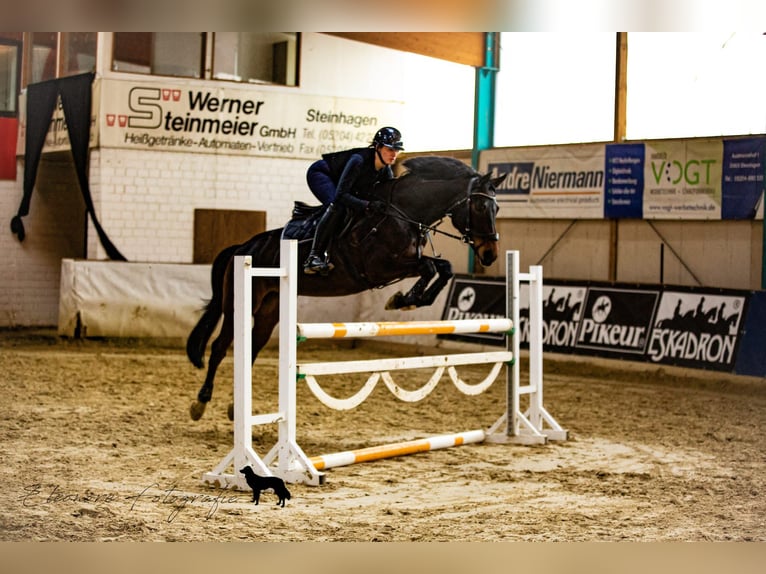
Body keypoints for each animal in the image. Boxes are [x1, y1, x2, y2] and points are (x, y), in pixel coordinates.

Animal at [187, 158, 510, 424]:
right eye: (480, 207)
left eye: (497, 208)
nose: (490, 254)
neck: (403, 213)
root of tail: (243, 247)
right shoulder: (381, 266)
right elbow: (431, 267)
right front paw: (402, 300)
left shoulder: (406, 263)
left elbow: (443, 267)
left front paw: (407, 300)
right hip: (239, 304)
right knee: (219, 347)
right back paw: (200, 403)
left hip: (270, 309)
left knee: (252, 348)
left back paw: (235, 408)